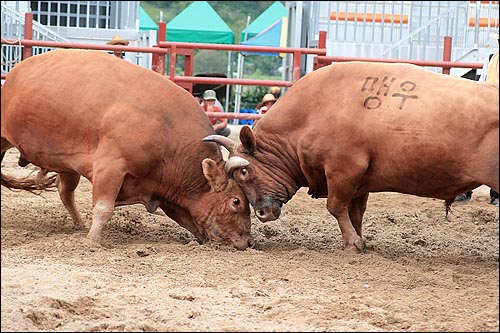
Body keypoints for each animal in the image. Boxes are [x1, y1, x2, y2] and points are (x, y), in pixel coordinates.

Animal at [1, 48, 254, 248]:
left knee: (65, 192)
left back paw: (78, 224)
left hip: (67, 165)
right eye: (236, 201)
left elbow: (189, 219)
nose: (249, 241)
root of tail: (14, 74)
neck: (166, 130)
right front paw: (92, 240)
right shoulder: (110, 167)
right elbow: (104, 208)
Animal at [205, 61, 498, 250]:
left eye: (245, 172)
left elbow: (336, 207)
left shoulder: (344, 169)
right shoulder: (362, 180)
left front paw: (352, 243)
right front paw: (360, 239)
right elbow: (356, 213)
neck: (312, 112)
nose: (262, 213)